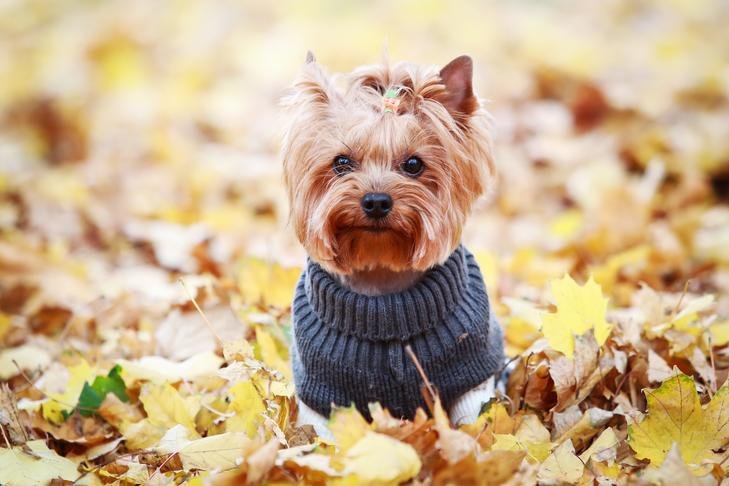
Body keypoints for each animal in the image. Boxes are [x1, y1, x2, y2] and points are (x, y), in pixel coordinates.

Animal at [282, 53, 504, 436]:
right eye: (341, 162)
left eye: (414, 164)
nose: (375, 201)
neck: (381, 277)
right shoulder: (321, 394)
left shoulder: (471, 378)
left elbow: (474, 424)